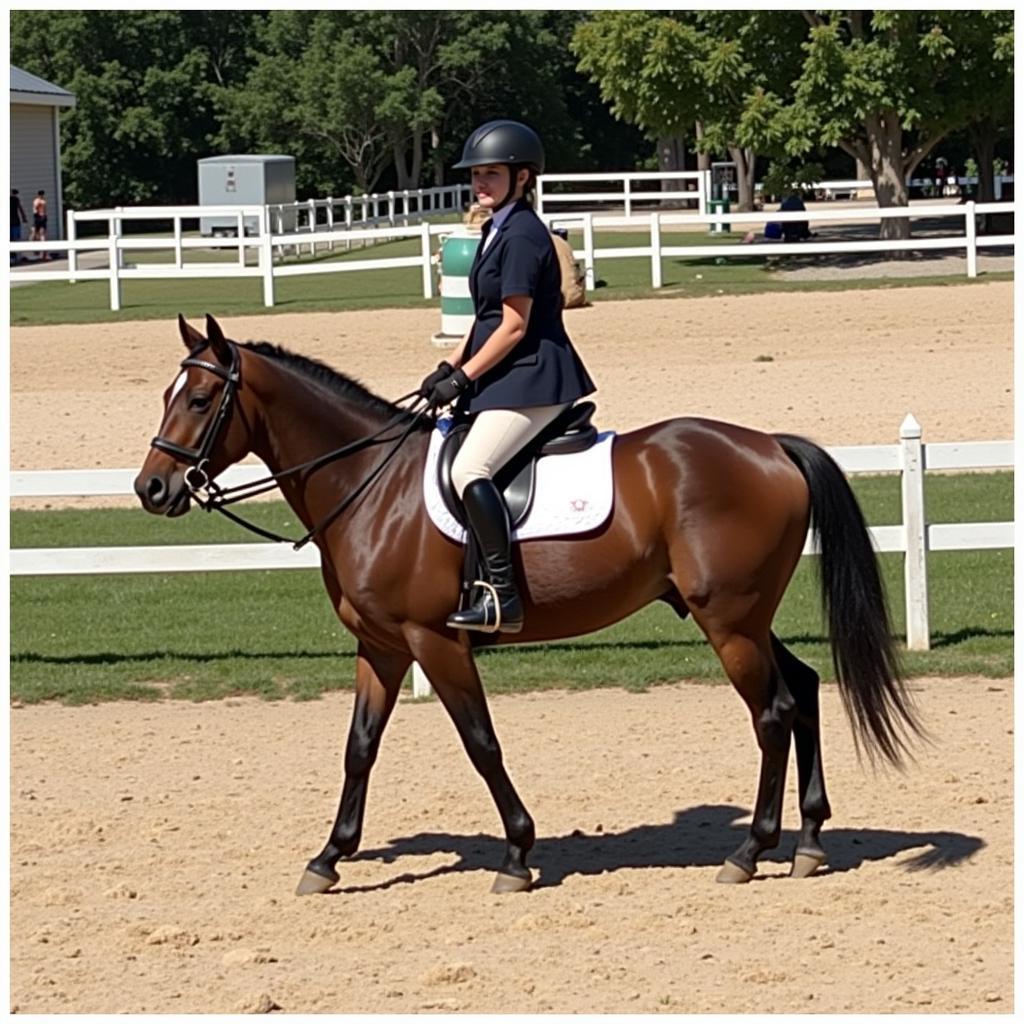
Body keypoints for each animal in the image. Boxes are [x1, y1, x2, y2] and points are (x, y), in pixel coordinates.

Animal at [132, 311, 925, 897]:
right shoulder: (381, 646)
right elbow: (359, 748)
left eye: (199, 400)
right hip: (743, 618)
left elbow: (481, 743)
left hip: (728, 622)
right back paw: (810, 842)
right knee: (806, 688)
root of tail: (772, 447)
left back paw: (750, 851)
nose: (152, 489)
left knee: (773, 712)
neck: (367, 484)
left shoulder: (434, 640)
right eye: (166, 397)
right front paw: (329, 858)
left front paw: (517, 854)